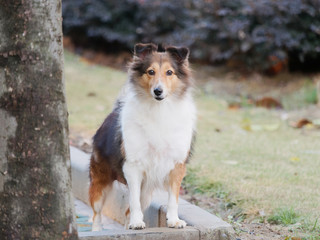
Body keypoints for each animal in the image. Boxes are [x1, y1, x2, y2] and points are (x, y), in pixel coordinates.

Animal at [89, 42, 196, 231]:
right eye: (150, 71)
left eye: (169, 72)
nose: (158, 91)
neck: (159, 110)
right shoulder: (132, 166)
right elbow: (133, 201)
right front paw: (137, 222)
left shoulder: (177, 166)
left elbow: (173, 199)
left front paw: (174, 220)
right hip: (100, 180)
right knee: (97, 213)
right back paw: (98, 230)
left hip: (146, 192)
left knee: (126, 212)